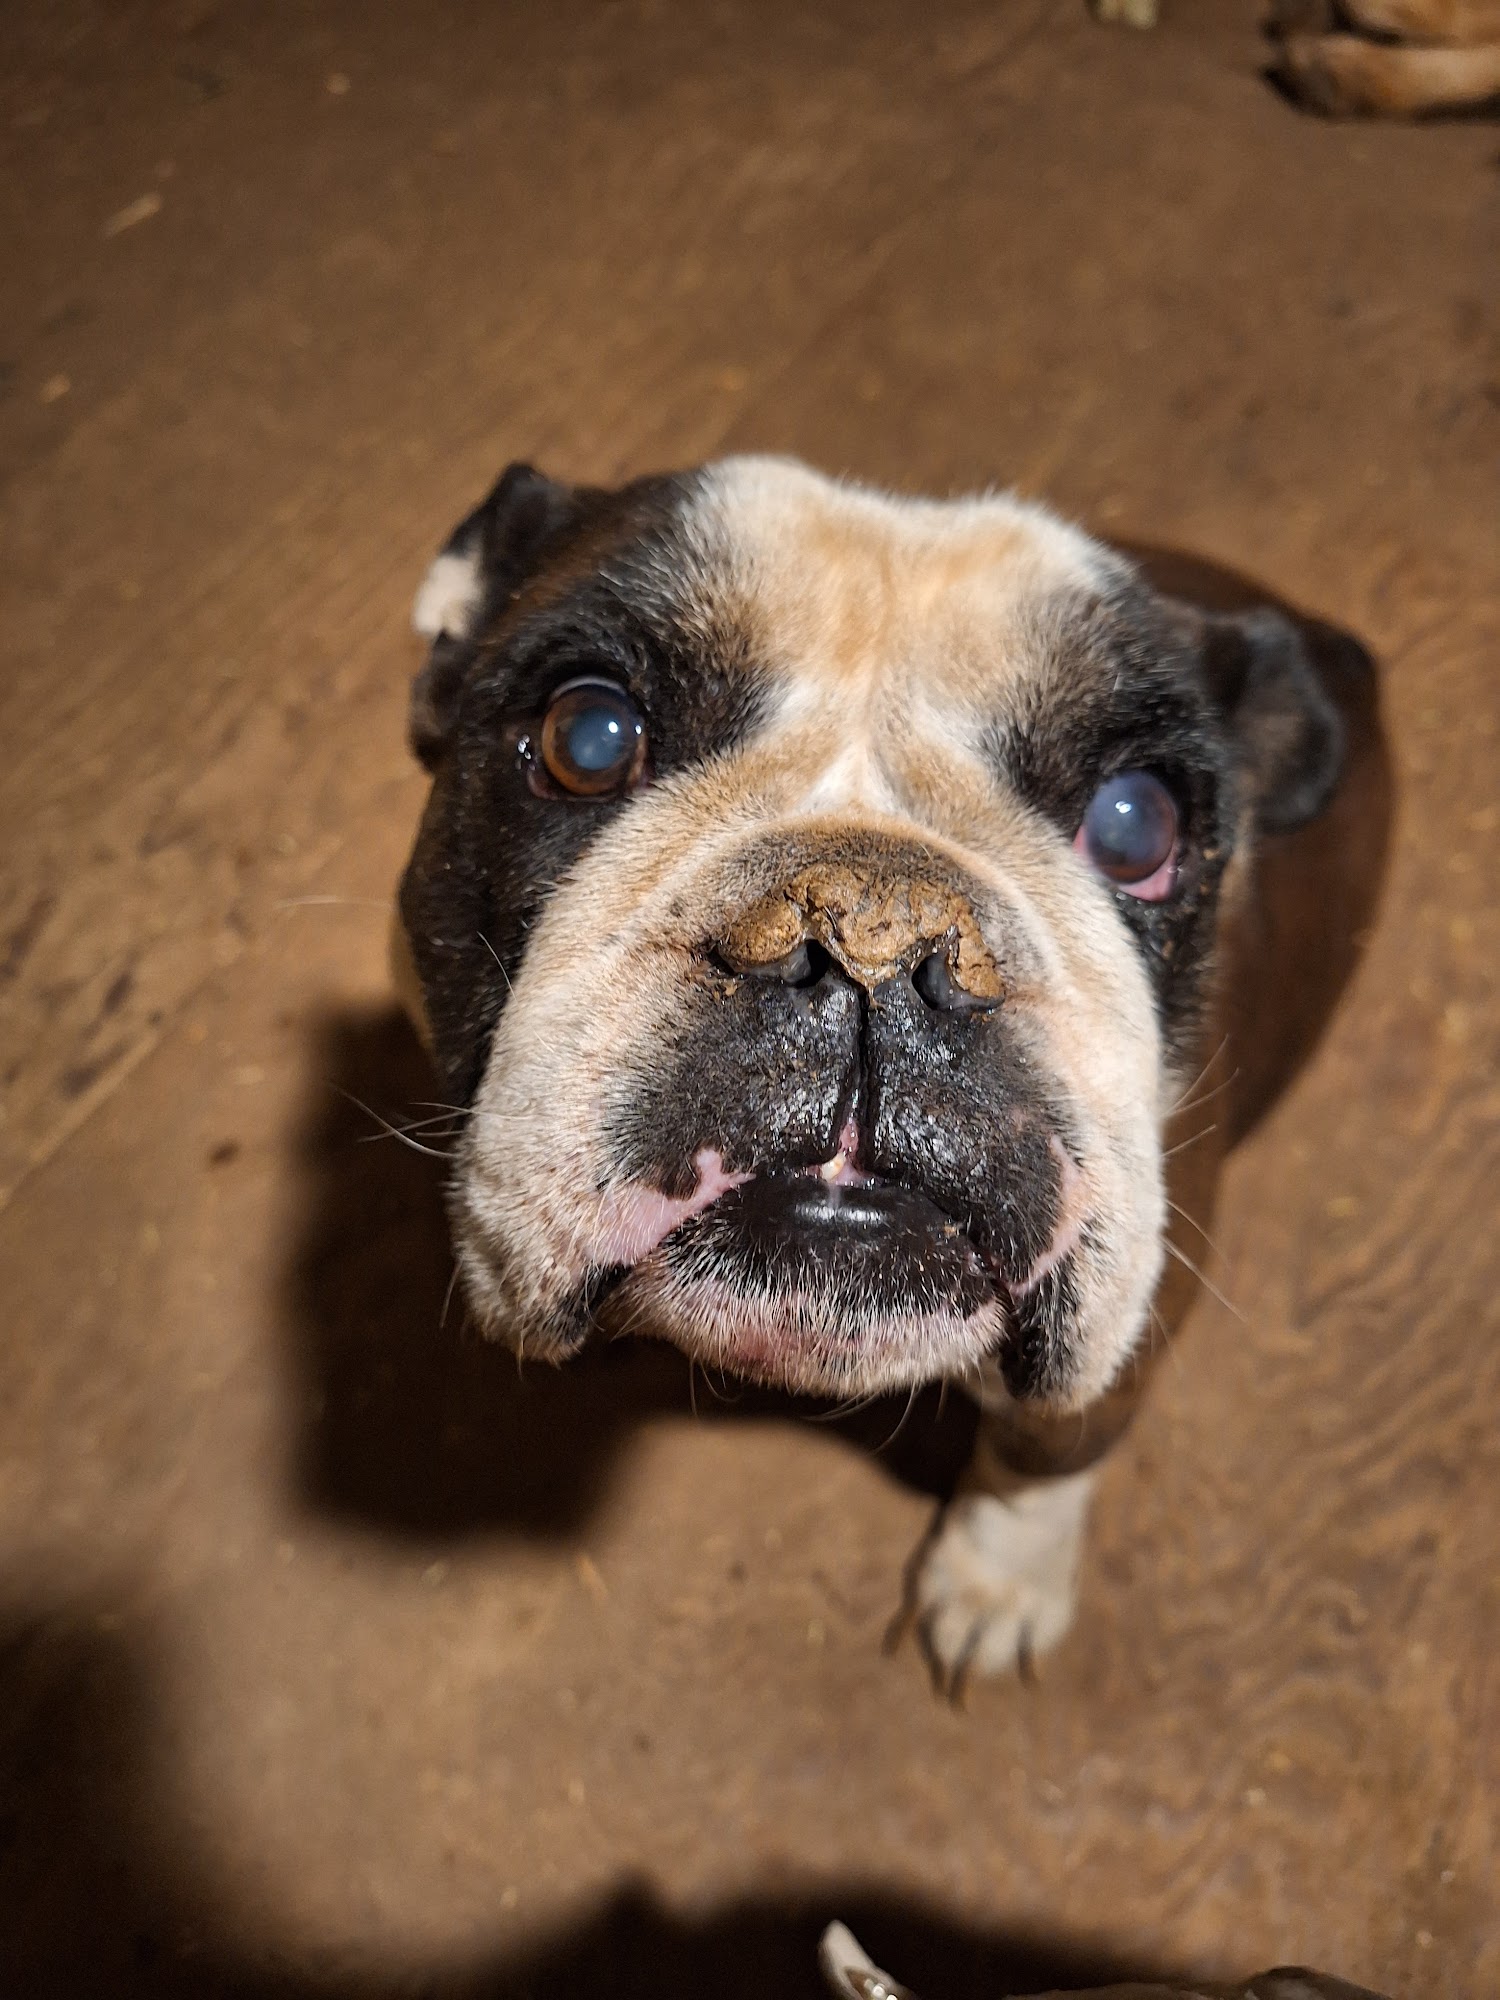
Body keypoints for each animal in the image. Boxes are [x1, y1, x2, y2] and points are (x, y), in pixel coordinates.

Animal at [395, 455, 1386, 1685]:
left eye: (1136, 825)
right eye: (587, 735)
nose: (873, 934)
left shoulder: (1124, 1344)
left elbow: (1045, 1455)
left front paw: (997, 1578)